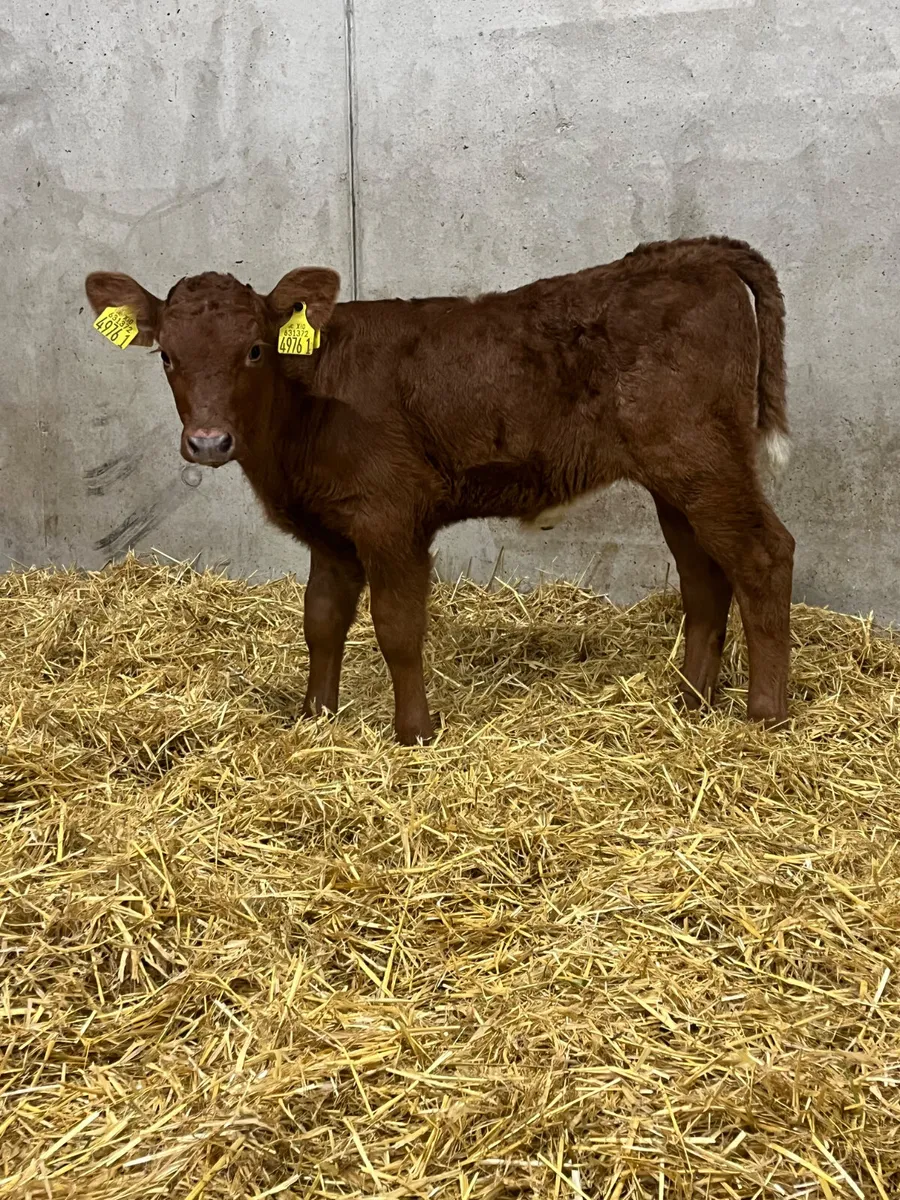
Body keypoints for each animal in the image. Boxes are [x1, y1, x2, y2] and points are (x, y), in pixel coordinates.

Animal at [85, 236, 795, 744]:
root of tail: (688, 254)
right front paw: (316, 718)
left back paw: (766, 714)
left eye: (256, 350)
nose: (208, 442)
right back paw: (691, 701)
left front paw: (415, 734)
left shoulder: (390, 515)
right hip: (677, 477)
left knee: (764, 554)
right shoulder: (329, 530)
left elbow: (397, 627)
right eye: (166, 355)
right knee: (705, 574)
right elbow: (321, 620)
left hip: (702, 458)